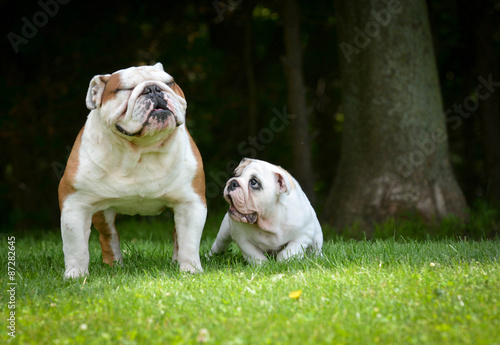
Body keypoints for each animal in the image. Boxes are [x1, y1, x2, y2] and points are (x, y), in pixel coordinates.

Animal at [58, 62, 207, 276]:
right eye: (125, 89)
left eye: (170, 82)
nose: (153, 88)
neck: (140, 150)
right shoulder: (75, 203)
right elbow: (75, 247)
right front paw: (75, 275)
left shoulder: (190, 203)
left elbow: (189, 242)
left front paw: (190, 271)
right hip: (102, 213)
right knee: (108, 236)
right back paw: (114, 266)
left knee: (177, 235)